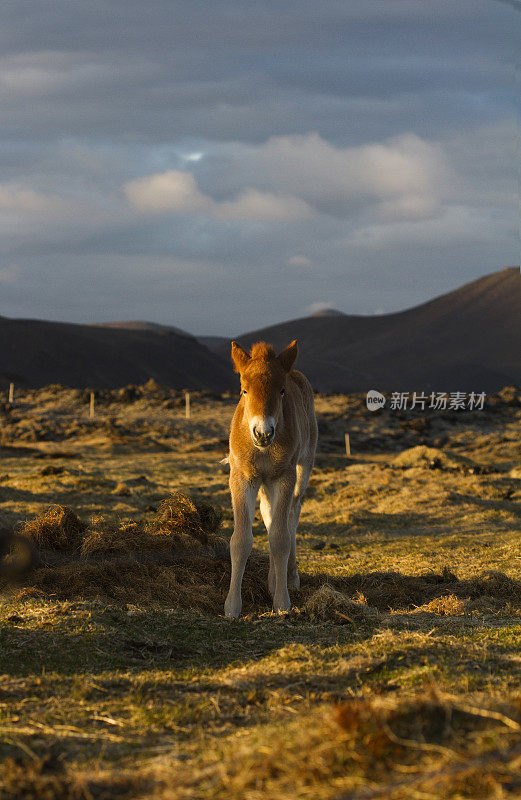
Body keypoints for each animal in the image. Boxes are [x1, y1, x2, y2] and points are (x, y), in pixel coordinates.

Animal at [223, 338, 316, 620]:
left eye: (282, 391)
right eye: (243, 390)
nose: (262, 433)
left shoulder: (283, 477)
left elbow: (280, 537)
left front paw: (282, 603)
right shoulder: (242, 478)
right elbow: (241, 540)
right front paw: (232, 607)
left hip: (302, 469)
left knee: (291, 516)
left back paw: (289, 578)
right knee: (269, 514)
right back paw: (273, 581)